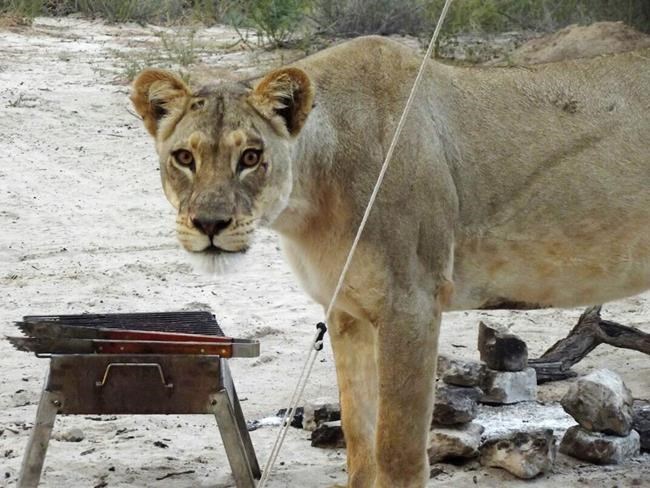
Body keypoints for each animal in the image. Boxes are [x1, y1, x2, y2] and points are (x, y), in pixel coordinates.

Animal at [130, 36, 650, 487]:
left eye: (252, 156)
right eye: (184, 157)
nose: (209, 224)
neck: (310, 200)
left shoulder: (411, 303)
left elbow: (397, 452)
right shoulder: (346, 311)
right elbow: (359, 439)